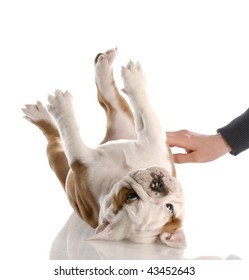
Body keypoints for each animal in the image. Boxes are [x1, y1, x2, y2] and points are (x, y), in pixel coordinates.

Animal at [23, 47, 186, 247]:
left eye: (131, 196)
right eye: (170, 207)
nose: (157, 184)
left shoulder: (80, 156)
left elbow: (70, 132)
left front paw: (62, 107)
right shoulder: (155, 142)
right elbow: (145, 109)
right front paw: (136, 82)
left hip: (56, 156)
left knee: (57, 137)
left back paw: (45, 113)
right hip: (125, 121)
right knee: (110, 98)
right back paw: (109, 65)